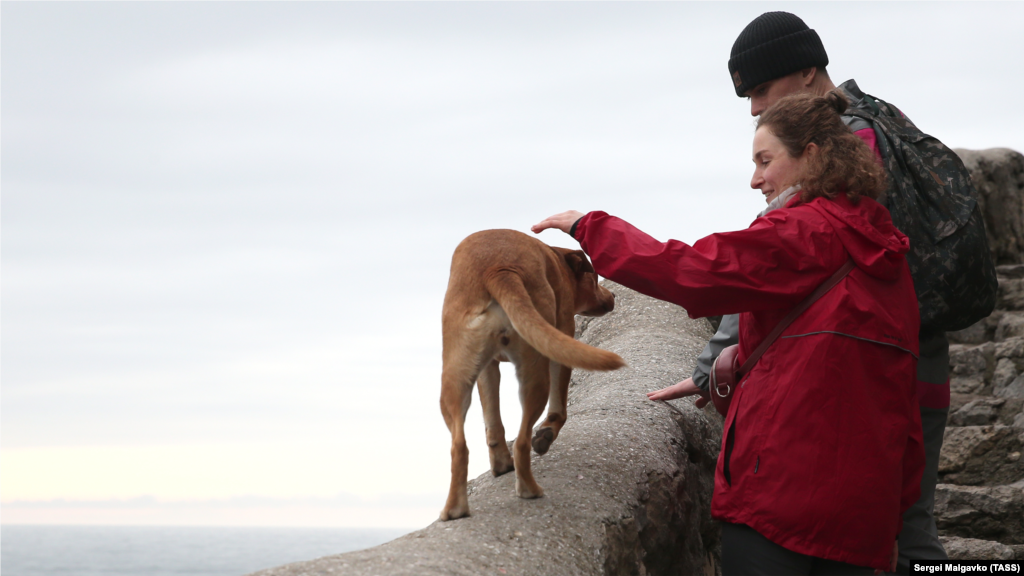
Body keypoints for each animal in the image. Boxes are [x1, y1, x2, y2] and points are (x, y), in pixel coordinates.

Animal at [436, 229, 618, 520]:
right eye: (594, 278)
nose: (612, 294)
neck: (556, 259)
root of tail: (498, 269)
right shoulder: (563, 334)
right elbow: (559, 410)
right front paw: (546, 433)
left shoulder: (487, 369)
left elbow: (493, 422)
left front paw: (501, 462)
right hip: (536, 369)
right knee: (522, 442)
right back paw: (530, 490)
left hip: (455, 377)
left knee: (459, 446)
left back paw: (456, 508)